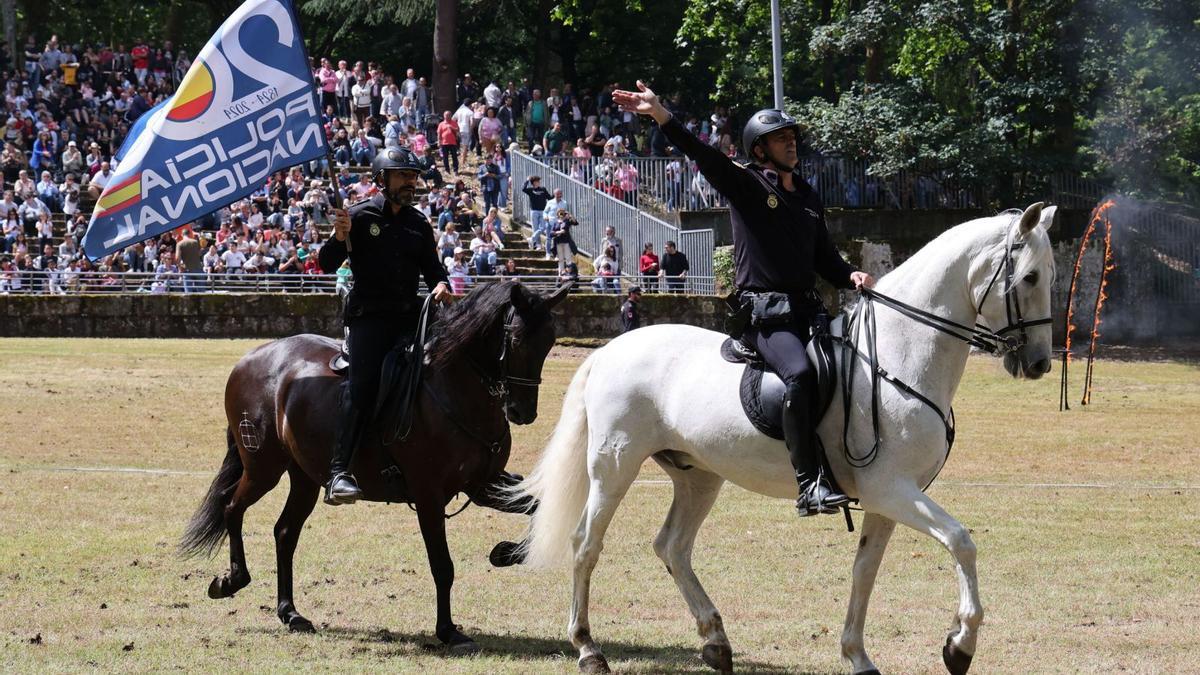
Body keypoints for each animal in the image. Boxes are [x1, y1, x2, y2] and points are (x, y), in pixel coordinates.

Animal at [180, 279, 568, 653]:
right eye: (515, 340)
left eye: (549, 342)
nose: (522, 411)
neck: (454, 389)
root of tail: (251, 358)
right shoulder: (429, 496)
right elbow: (442, 566)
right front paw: (448, 631)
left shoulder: (484, 484)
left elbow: (537, 506)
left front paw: (506, 553)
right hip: (264, 468)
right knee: (232, 507)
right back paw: (231, 580)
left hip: (304, 477)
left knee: (285, 533)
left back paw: (290, 613)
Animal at [511, 201, 1056, 667]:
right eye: (1029, 277)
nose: (1039, 364)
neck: (897, 356)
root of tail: (609, 350)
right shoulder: (891, 489)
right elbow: (961, 541)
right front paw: (960, 644)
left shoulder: (888, 498)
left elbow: (865, 572)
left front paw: (858, 656)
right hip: (614, 468)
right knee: (586, 544)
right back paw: (588, 648)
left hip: (698, 476)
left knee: (672, 547)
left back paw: (716, 642)